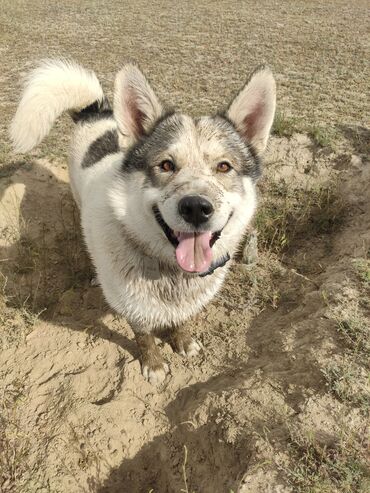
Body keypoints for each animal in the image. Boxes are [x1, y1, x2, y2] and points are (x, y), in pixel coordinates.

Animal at [10, 59, 276, 384]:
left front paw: (182, 341)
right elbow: (144, 334)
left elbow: (181, 320)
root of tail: (94, 112)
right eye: (166, 165)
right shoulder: (130, 301)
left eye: (224, 166)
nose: (196, 208)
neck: (169, 270)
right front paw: (154, 365)